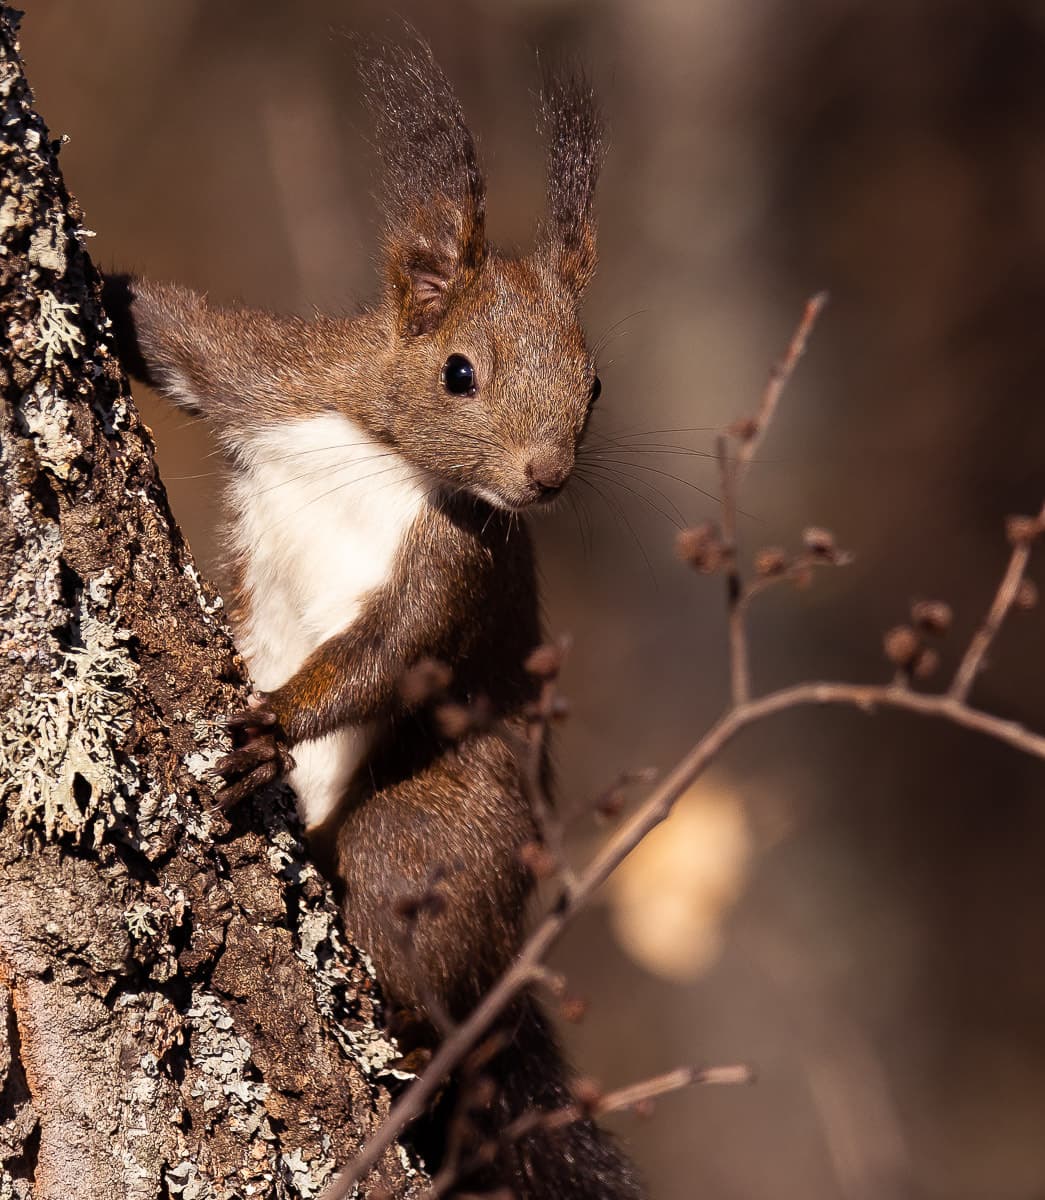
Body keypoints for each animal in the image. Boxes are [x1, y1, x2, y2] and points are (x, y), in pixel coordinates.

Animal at [104, 38, 643, 1200]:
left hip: (426, 838)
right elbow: (173, 329)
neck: (386, 454)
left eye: (594, 388)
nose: (544, 478)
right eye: (458, 371)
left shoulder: (460, 565)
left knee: (408, 939)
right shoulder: (277, 371)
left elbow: (386, 656)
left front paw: (269, 725)